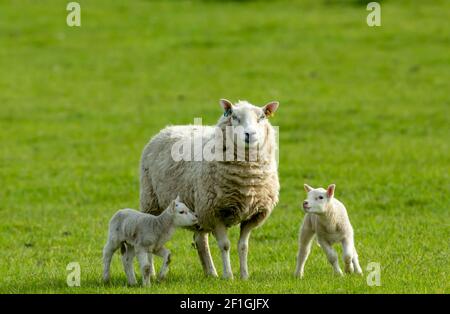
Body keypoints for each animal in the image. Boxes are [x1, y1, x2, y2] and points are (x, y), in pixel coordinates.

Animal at [139, 98, 280, 280]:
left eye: (262, 117)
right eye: (234, 117)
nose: (250, 134)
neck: (246, 180)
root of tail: (168, 128)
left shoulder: (254, 215)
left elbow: (243, 246)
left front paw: (244, 276)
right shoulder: (215, 212)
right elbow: (225, 245)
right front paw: (228, 276)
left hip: (198, 208)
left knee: (200, 240)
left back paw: (211, 273)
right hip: (151, 201)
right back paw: (152, 273)